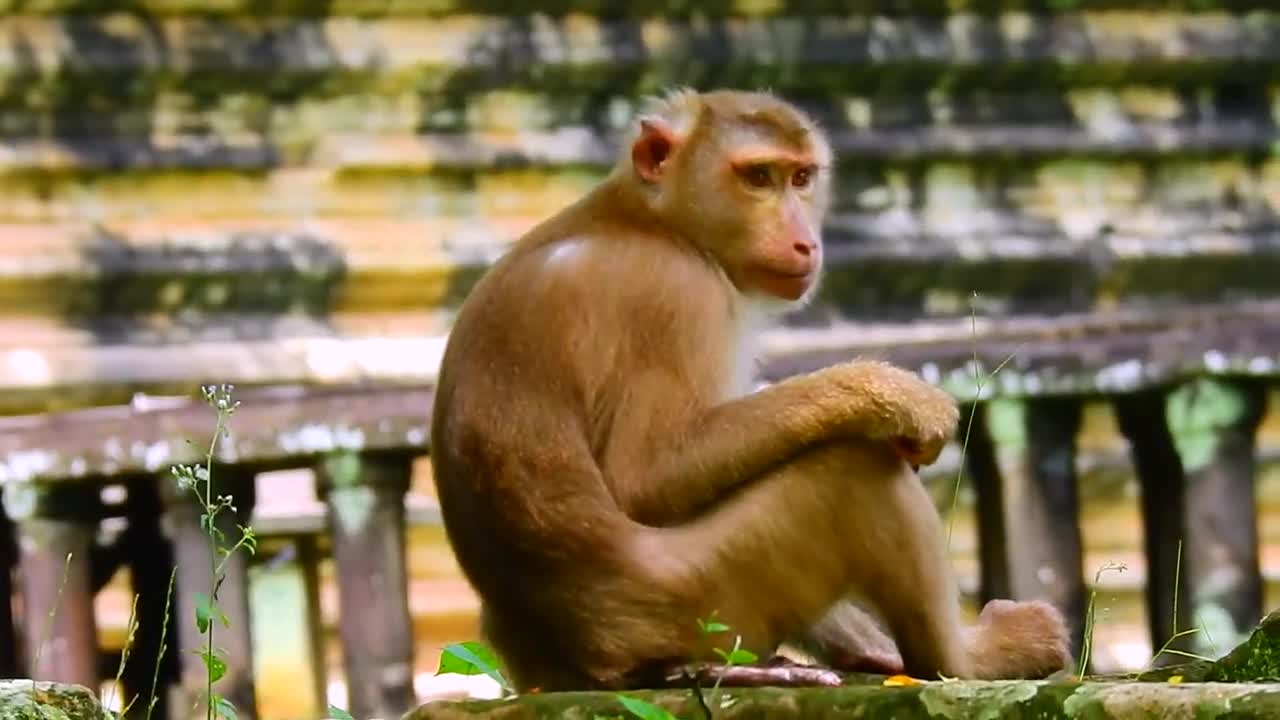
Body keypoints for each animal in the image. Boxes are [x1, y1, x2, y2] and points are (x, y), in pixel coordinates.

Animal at [430, 88, 1070, 691]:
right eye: (758, 177)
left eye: (801, 178)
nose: (805, 242)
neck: (648, 218)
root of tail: (584, 666)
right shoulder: (677, 293)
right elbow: (649, 473)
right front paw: (888, 396)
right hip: (706, 598)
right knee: (853, 474)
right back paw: (966, 659)